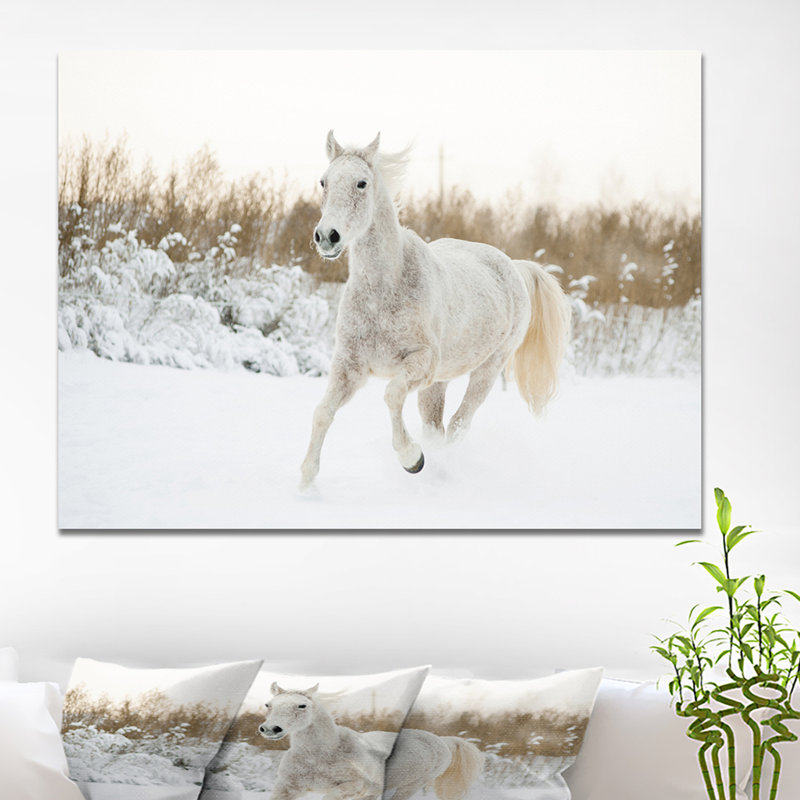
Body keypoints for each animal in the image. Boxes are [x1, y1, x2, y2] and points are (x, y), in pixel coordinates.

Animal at [258, 683, 483, 800]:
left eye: (302, 705)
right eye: (268, 704)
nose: (271, 729)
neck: (320, 757)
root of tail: (442, 741)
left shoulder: (355, 787)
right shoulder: (286, 789)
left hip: (409, 787)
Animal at [300, 131, 571, 489]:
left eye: (361, 183)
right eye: (324, 181)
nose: (327, 237)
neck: (385, 291)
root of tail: (513, 265)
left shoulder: (420, 364)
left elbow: (391, 395)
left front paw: (411, 458)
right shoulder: (349, 367)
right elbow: (322, 412)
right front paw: (306, 479)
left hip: (488, 369)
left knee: (458, 425)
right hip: (439, 382)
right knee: (437, 427)